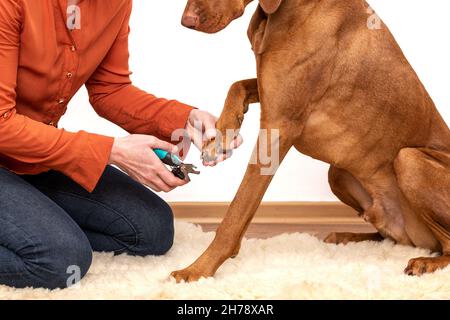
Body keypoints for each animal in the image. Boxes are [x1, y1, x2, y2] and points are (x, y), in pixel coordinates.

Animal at [171, 0, 448, 282]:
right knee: (389, 237)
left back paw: (426, 262)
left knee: (444, 245)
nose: (186, 21)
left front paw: (197, 270)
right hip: (338, 173)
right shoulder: (269, 91)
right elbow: (237, 85)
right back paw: (347, 236)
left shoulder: (279, 125)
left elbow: (237, 211)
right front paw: (221, 135)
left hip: (409, 159)